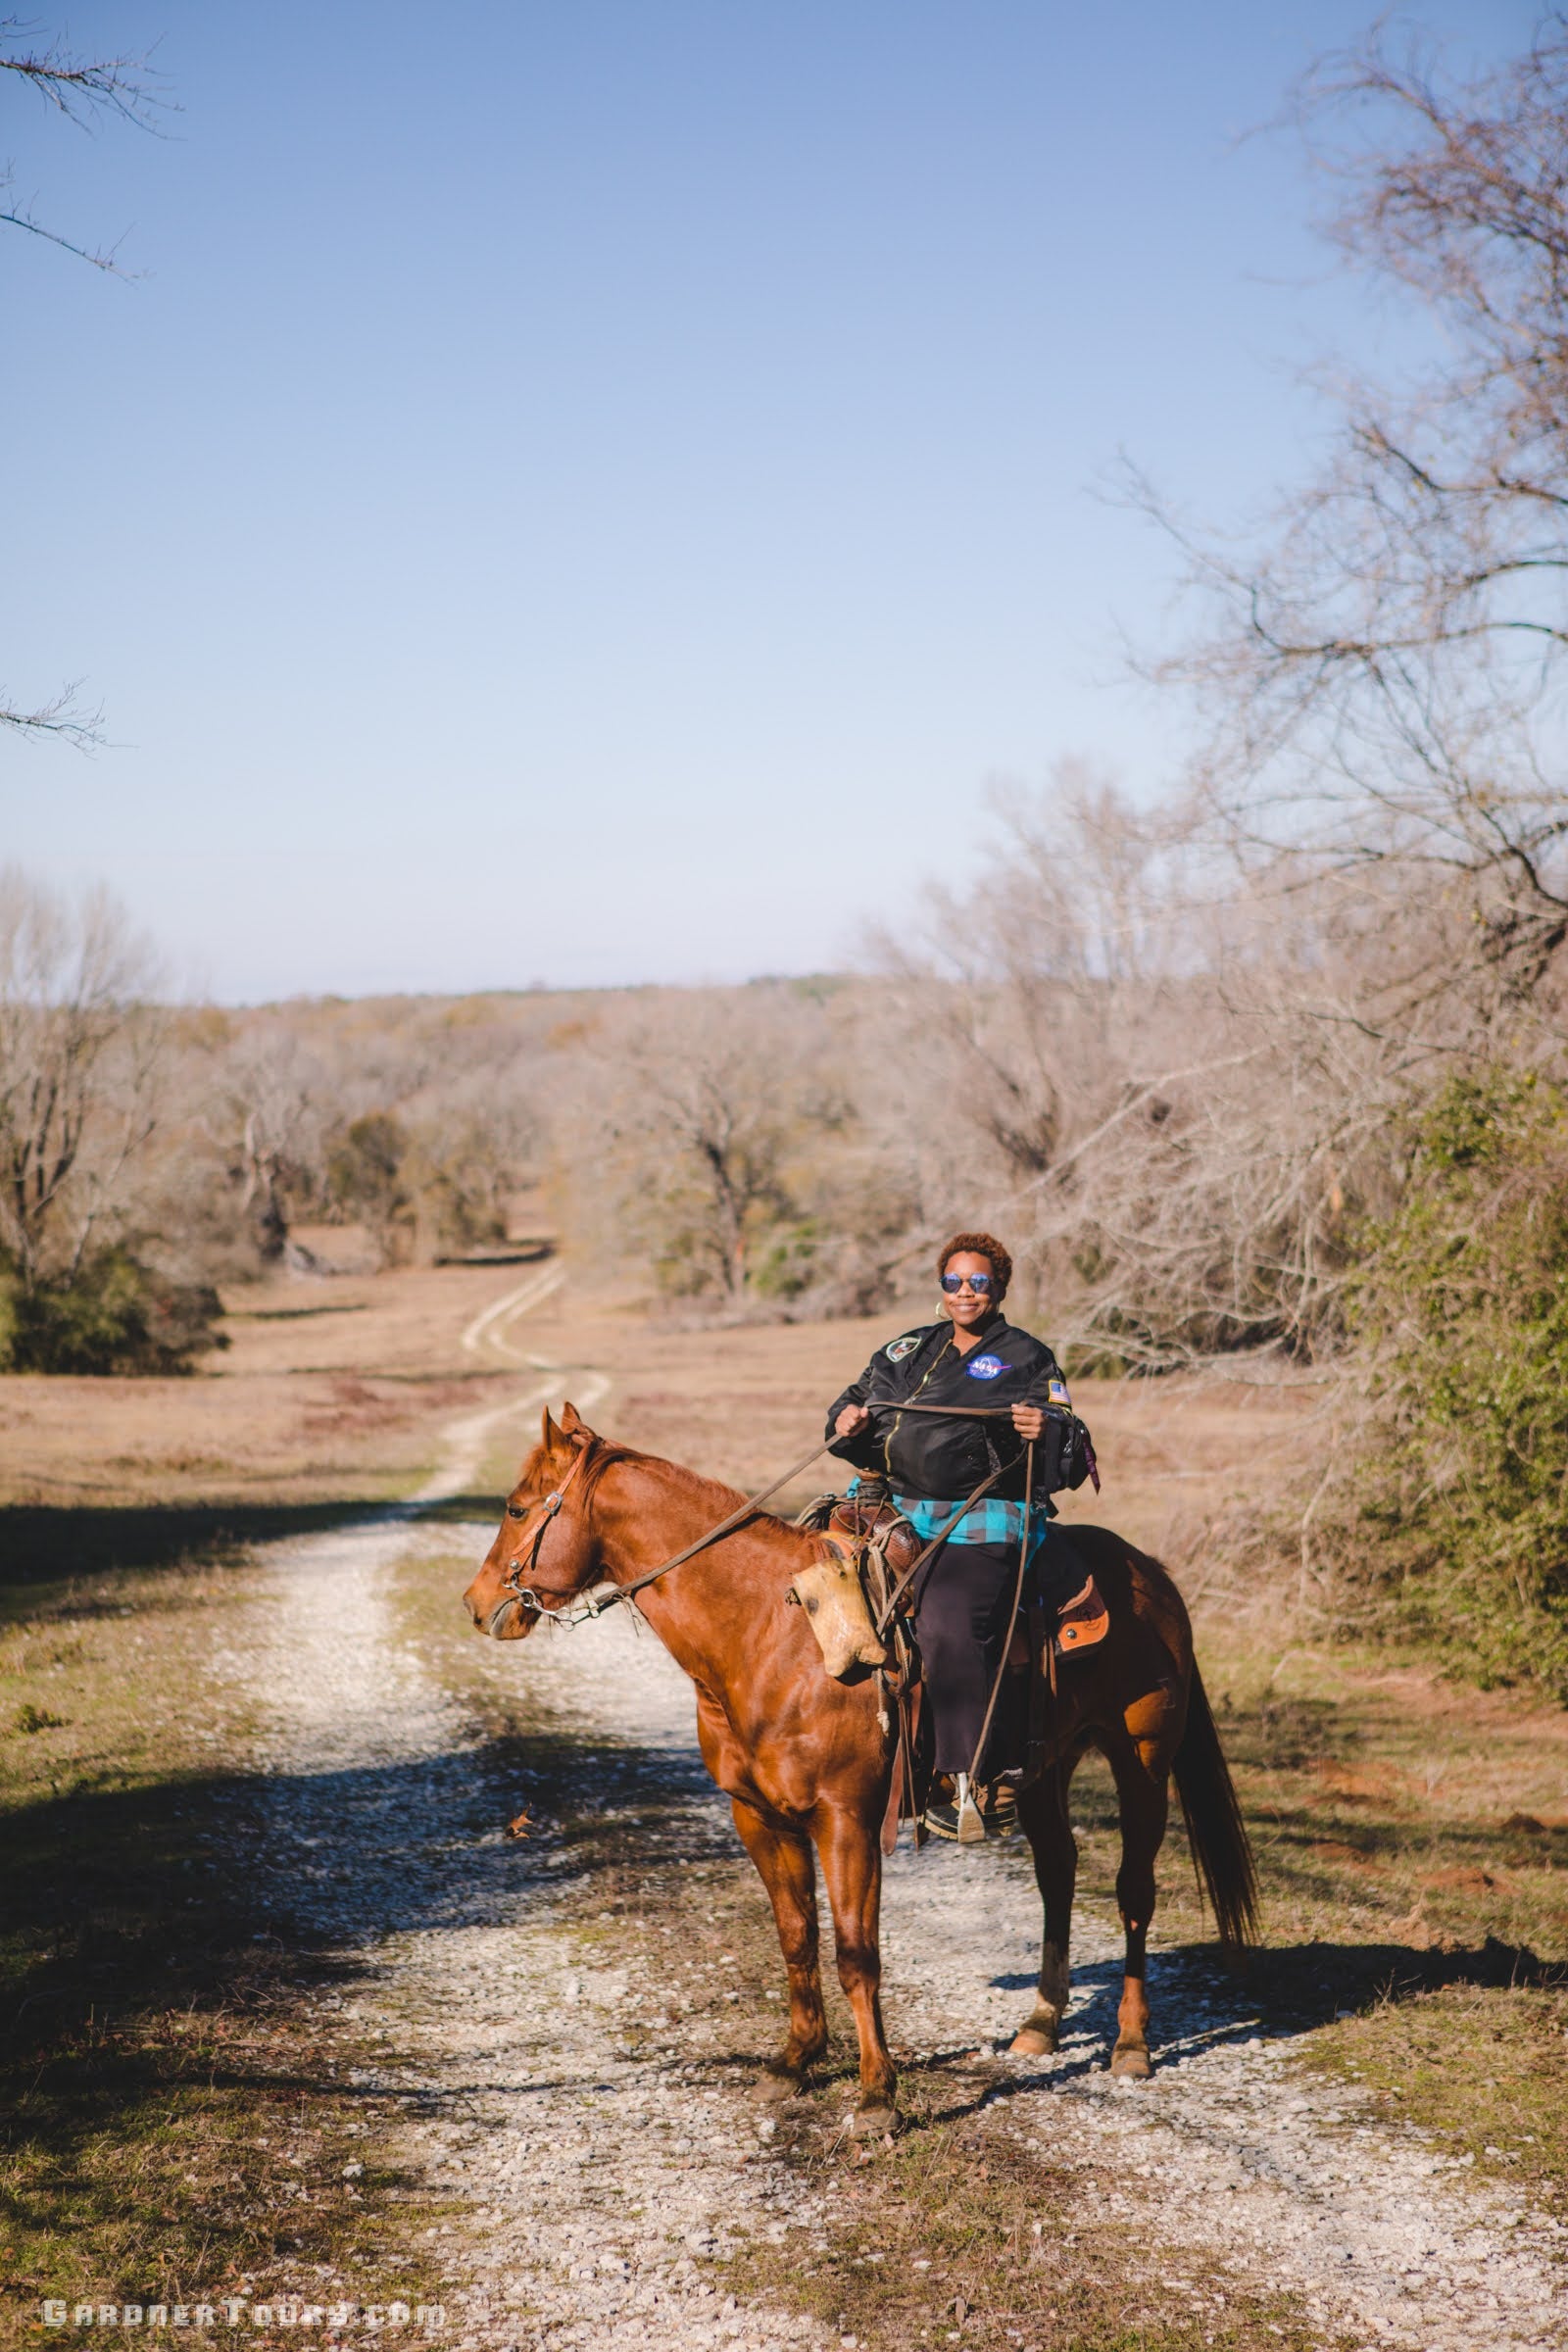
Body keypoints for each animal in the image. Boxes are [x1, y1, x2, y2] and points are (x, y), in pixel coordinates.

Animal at [462, 1404, 1257, 2131]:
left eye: (517, 1507)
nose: (477, 1605)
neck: (770, 1630)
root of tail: (1150, 1575)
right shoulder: (759, 1818)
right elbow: (797, 1938)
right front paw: (794, 2063)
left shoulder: (844, 1819)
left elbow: (855, 1952)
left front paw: (878, 2094)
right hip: (1044, 1768)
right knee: (1057, 1873)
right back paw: (1040, 2025)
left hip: (1141, 1759)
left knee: (1132, 1892)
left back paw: (1130, 2043)